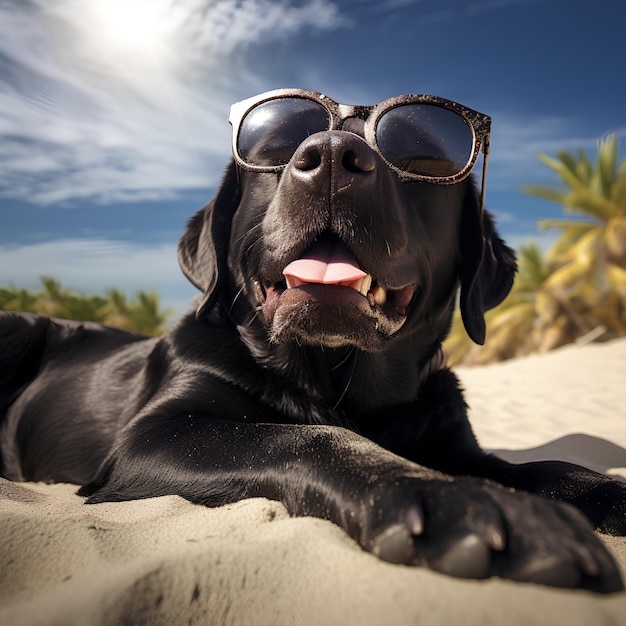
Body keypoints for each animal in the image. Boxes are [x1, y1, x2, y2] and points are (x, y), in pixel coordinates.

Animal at [1, 89, 624, 588]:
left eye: (420, 156)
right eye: (274, 151)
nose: (330, 159)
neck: (340, 382)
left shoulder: (454, 444)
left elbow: (550, 469)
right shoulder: (154, 435)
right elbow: (311, 438)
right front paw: (464, 503)